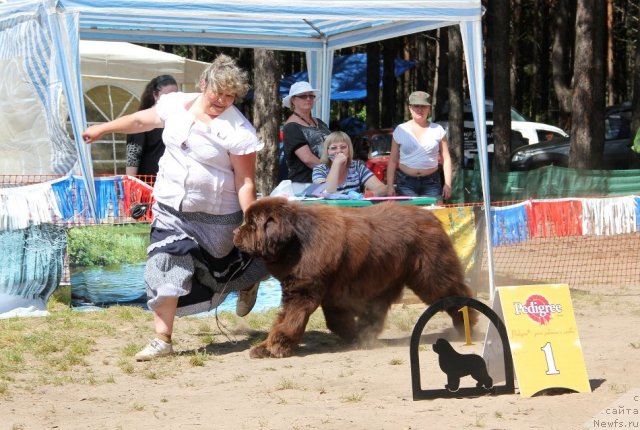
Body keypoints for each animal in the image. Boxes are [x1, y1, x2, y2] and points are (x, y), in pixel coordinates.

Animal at [235, 197, 476, 358]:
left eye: (251, 224)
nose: (235, 233)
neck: (297, 242)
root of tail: (431, 216)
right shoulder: (327, 293)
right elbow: (331, 320)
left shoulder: (304, 291)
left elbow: (290, 320)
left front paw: (275, 347)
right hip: (386, 278)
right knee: (376, 310)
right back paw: (366, 335)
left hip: (430, 274)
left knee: (453, 293)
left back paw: (468, 324)